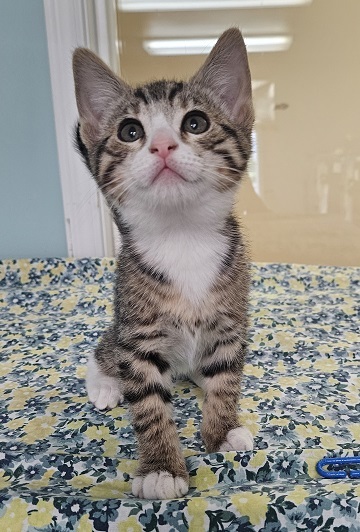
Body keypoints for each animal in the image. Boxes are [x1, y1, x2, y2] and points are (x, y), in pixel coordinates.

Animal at [72, 27, 253, 498]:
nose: (161, 144)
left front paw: (222, 429)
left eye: (196, 123)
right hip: (118, 327)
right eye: (130, 130)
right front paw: (160, 468)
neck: (182, 237)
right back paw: (105, 385)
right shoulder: (138, 335)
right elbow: (150, 407)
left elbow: (226, 379)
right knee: (102, 350)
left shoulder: (230, 322)